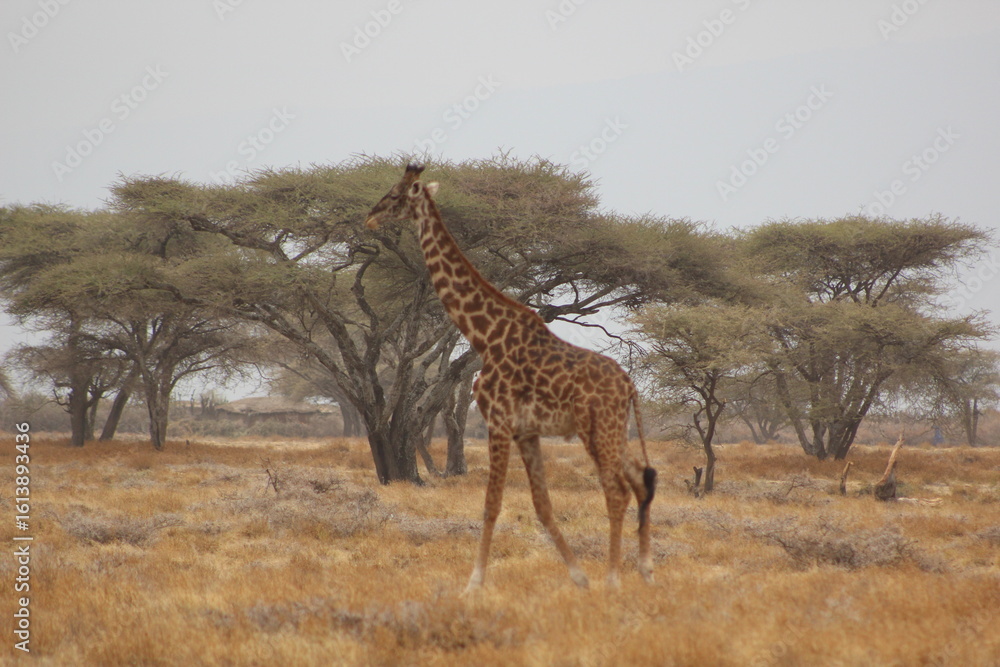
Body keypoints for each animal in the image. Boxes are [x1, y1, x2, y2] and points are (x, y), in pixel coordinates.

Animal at [365, 164, 657, 591]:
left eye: (395, 194)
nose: (370, 217)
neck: (484, 336)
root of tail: (630, 386)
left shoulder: (499, 420)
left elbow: (491, 504)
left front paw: (474, 583)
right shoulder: (526, 430)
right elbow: (542, 505)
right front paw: (577, 576)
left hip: (597, 427)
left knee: (617, 489)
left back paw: (614, 579)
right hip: (612, 428)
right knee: (640, 477)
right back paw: (643, 569)